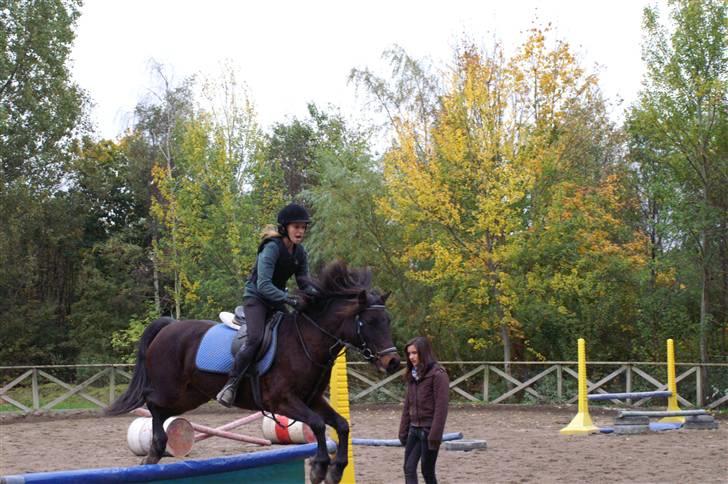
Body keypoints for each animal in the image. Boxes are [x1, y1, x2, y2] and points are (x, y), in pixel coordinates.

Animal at [107, 260, 400, 484]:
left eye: (387, 321)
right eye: (368, 322)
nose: (393, 362)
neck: (306, 341)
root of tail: (169, 326)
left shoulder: (313, 400)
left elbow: (341, 425)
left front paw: (336, 469)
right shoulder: (282, 401)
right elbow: (317, 424)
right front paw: (319, 466)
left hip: (192, 395)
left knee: (162, 410)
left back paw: (154, 453)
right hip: (172, 389)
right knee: (152, 402)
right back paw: (157, 445)